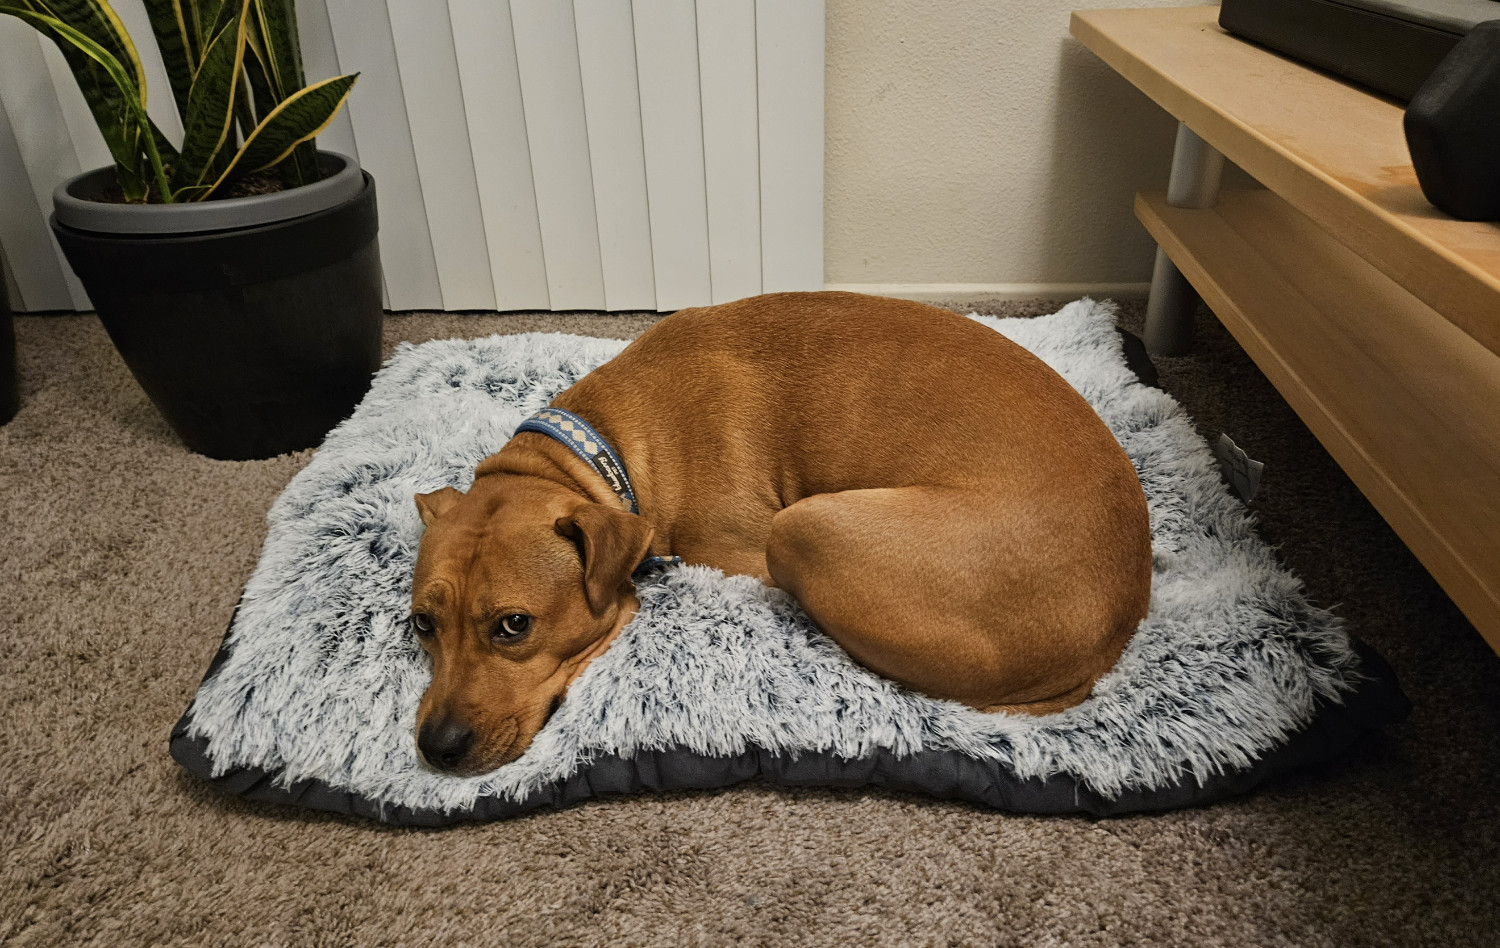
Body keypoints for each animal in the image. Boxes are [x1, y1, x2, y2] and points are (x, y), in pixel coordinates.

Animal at [411, 292, 1146, 774]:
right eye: (422, 623)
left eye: (514, 625)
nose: (435, 749)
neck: (605, 449)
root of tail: (1117, 625)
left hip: (803, 527)